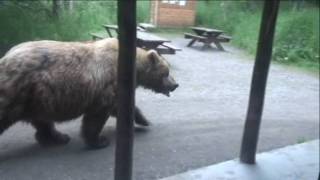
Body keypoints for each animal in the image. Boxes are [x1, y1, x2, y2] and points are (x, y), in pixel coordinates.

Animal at [0, 37, 178, 148]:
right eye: (166, 72)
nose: (175, 85)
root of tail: (6, 56)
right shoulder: (107, 85)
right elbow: (97, 115)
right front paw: (99, 140)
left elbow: (122, 107)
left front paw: (144, 120)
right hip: (19, 90)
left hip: (38, 98)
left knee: (42, 121)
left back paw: (58, 137)